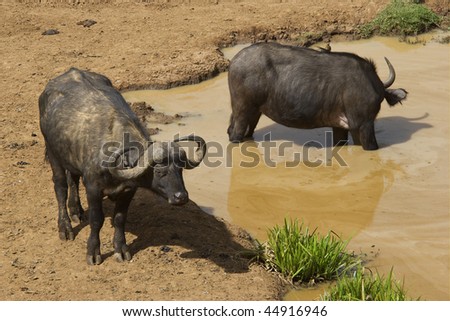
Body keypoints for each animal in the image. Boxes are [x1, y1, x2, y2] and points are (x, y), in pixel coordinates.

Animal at [39, 67, 207, 262]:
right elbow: (96, 220)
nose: (181, 197)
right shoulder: (93, 188)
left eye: (180, 169)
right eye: (159, 171)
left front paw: (121, 248)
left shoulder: (128, 191)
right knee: (60, 187)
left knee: (72, 178)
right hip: (52, 152)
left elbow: (120, 219)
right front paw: (93, 252)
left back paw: (76, 211)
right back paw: (65, 228)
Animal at [227, 41, 406, 150]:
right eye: (377, 101)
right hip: (243, 109)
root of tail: (234, 62)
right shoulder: (364, 125)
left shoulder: (342, 127)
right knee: (235, 135)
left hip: (252, 112)